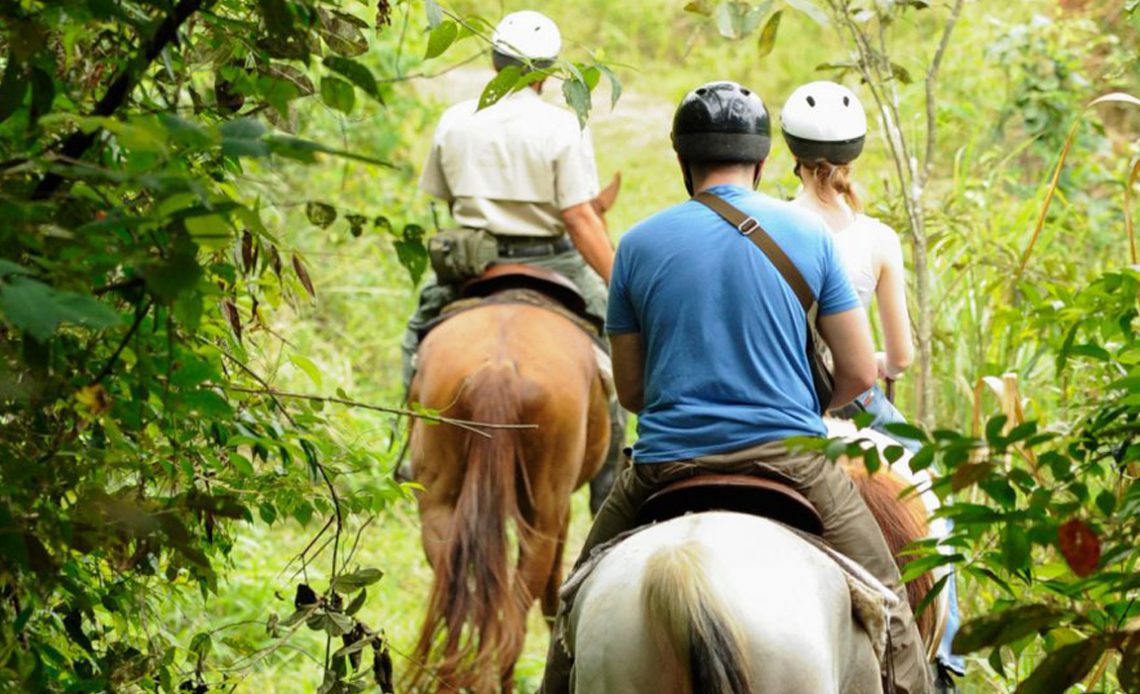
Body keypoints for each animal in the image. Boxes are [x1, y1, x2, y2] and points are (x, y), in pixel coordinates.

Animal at [410, 177, 620, 688]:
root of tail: (499, 369)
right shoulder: (561, 507)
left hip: (440, 500)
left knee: (463, 606)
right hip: (542, 509)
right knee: (513, 621)